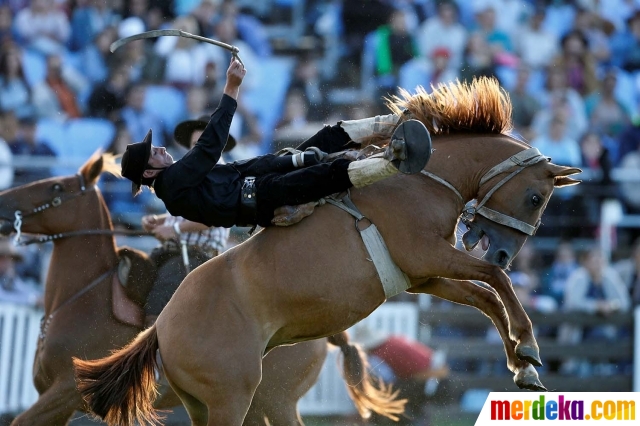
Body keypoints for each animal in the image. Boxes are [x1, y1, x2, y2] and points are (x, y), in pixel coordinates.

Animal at [0, 157, 400, 426]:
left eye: (56, 188)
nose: (4, 204)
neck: (83, 296)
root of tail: (331, 338)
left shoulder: (65, 393)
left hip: (276, 401)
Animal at [74, 78, 580, 424]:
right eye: (536, 197)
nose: (503, 252)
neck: (418, 183)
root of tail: (160, 328)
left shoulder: (423, 276)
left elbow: (485, 295)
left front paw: (523, 367)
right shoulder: (429, 256)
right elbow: (496, 283)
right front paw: (529, 346)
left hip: (202, 404)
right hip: (232, 398)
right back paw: (398, 145)